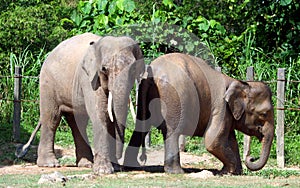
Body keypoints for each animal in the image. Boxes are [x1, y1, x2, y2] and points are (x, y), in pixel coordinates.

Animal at [124, 52, 274, 175]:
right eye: (264, 113)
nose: (251, 157)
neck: (240, 82)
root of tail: (152, 71)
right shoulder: (221, 108)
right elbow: (213, 140)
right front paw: (227, 172)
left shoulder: (227, 114)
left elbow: (231, 139)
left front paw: (235, 172)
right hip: (174, 98)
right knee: (173, 132)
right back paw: (177, 172)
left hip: (144, 95)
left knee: (140, 128)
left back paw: (132, 166)